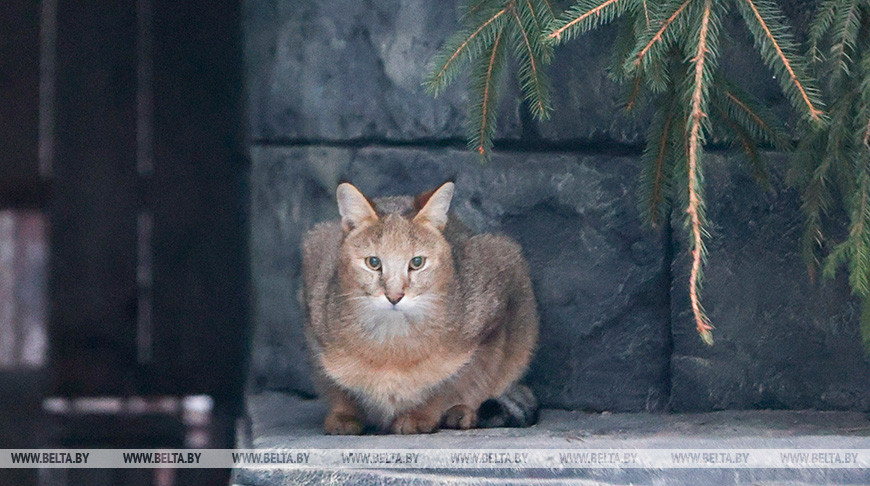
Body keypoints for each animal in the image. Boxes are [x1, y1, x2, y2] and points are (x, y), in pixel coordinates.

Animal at [304, 180, 540, 434]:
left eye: (417, 262)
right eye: (373, 262)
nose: (394, 296)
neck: (391, 346)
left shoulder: (492, 322)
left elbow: (454, 382)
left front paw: (421, 415)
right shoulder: (314, 322)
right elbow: (336, 386)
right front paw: (345, 415)